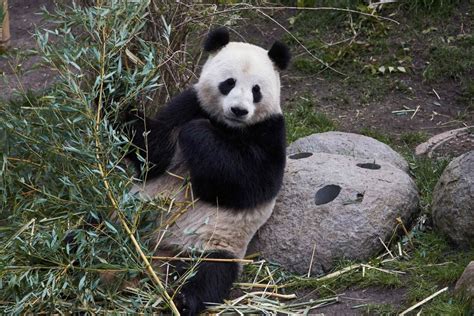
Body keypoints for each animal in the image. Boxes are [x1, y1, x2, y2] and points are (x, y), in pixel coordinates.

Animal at [119, 28, 288, 314]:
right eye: (228, 83)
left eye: (256, 90)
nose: (239, 110)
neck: (228, 126)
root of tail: (157, 254)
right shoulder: (188, 104)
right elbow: (153, 154)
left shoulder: (271, 130)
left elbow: (251, 183)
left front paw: (197, 132)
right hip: (125, 216)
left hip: (212, 244)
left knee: (209, 274)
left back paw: (183, 300)